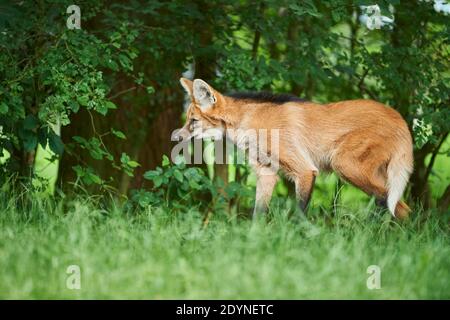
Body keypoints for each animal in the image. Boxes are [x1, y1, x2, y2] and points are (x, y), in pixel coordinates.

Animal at [174, 78, 414, 219]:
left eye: (193, 121)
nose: (176, 136)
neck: (248, 122)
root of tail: (400, 119)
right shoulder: (267, 173)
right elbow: (258, 214)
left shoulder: (305, 171)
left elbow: (299, 216)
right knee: (403, 208)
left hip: (345, 165)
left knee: (391, 204)